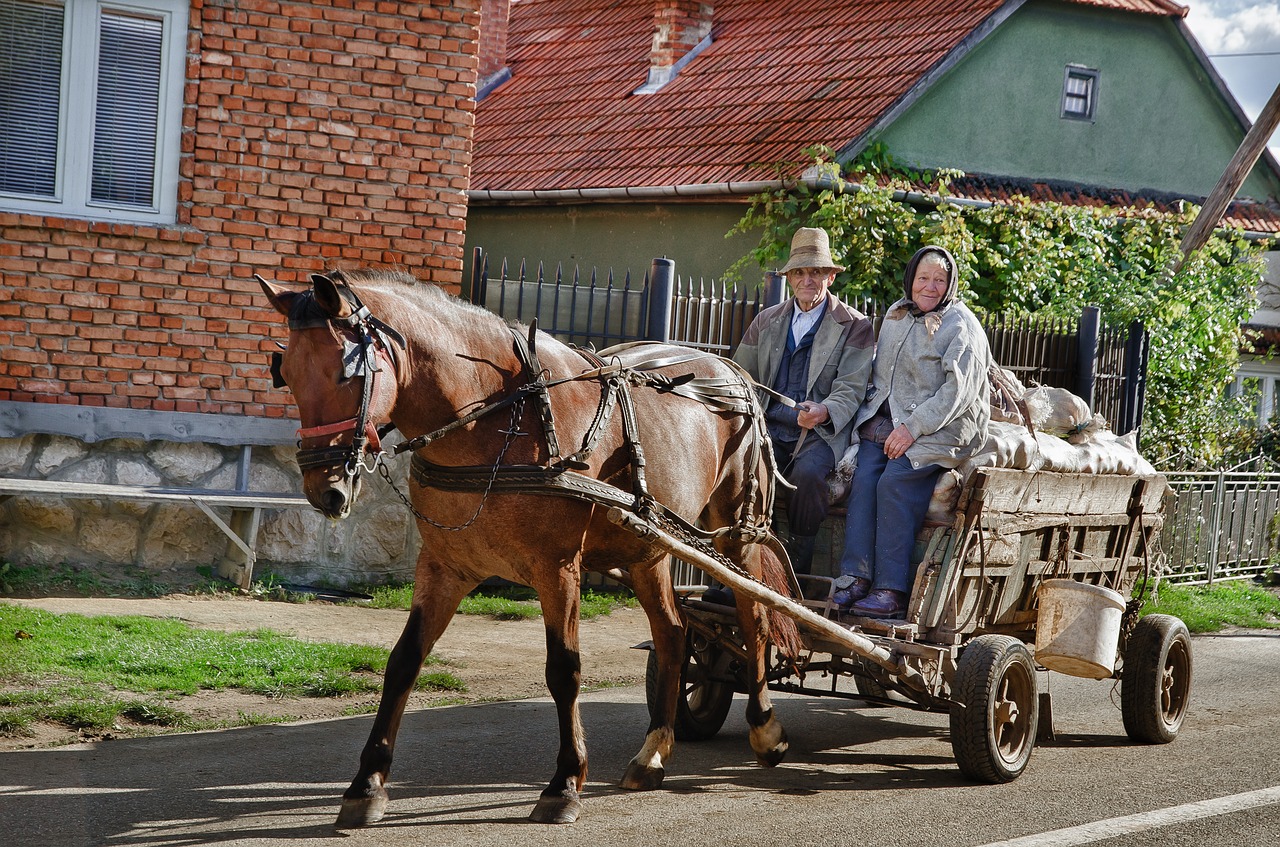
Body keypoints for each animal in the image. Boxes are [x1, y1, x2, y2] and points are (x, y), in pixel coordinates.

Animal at [257, 268, 798, 823]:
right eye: (287, 374)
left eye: (346, 375)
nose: (325, 490)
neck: (493, 414)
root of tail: (728, 366)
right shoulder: (444, 566)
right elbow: (404, 661)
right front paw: (367, 784)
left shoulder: (557, 568)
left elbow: (564, 669)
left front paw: (565, 782)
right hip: (648, 546)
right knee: (672, 633)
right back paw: (653, 753)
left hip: (736, 532)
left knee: (755, 618)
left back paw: (764, 728)